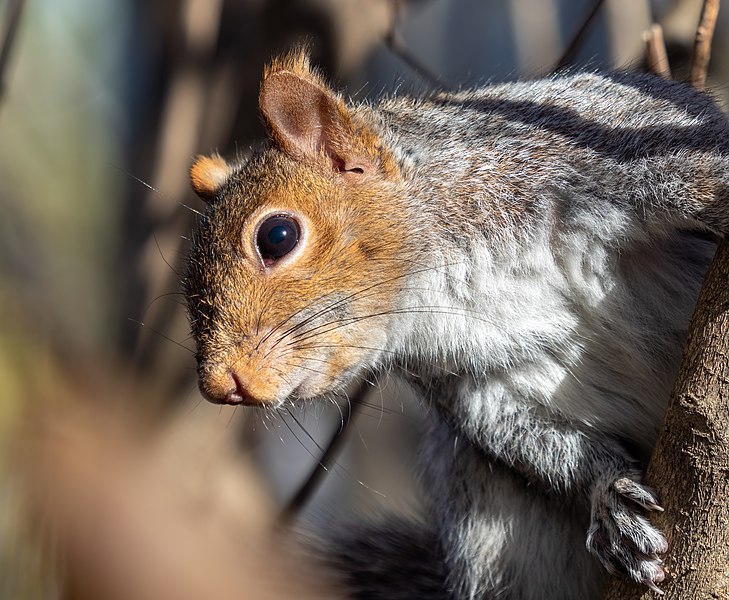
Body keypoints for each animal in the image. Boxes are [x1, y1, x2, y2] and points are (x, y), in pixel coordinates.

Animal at [182, 51, 728, 600]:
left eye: (277, 236)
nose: (219, 386)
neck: (440, 277)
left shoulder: (590, 150)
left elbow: (698, 169)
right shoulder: (460, 380)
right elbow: (525, 438)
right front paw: (609, 492)